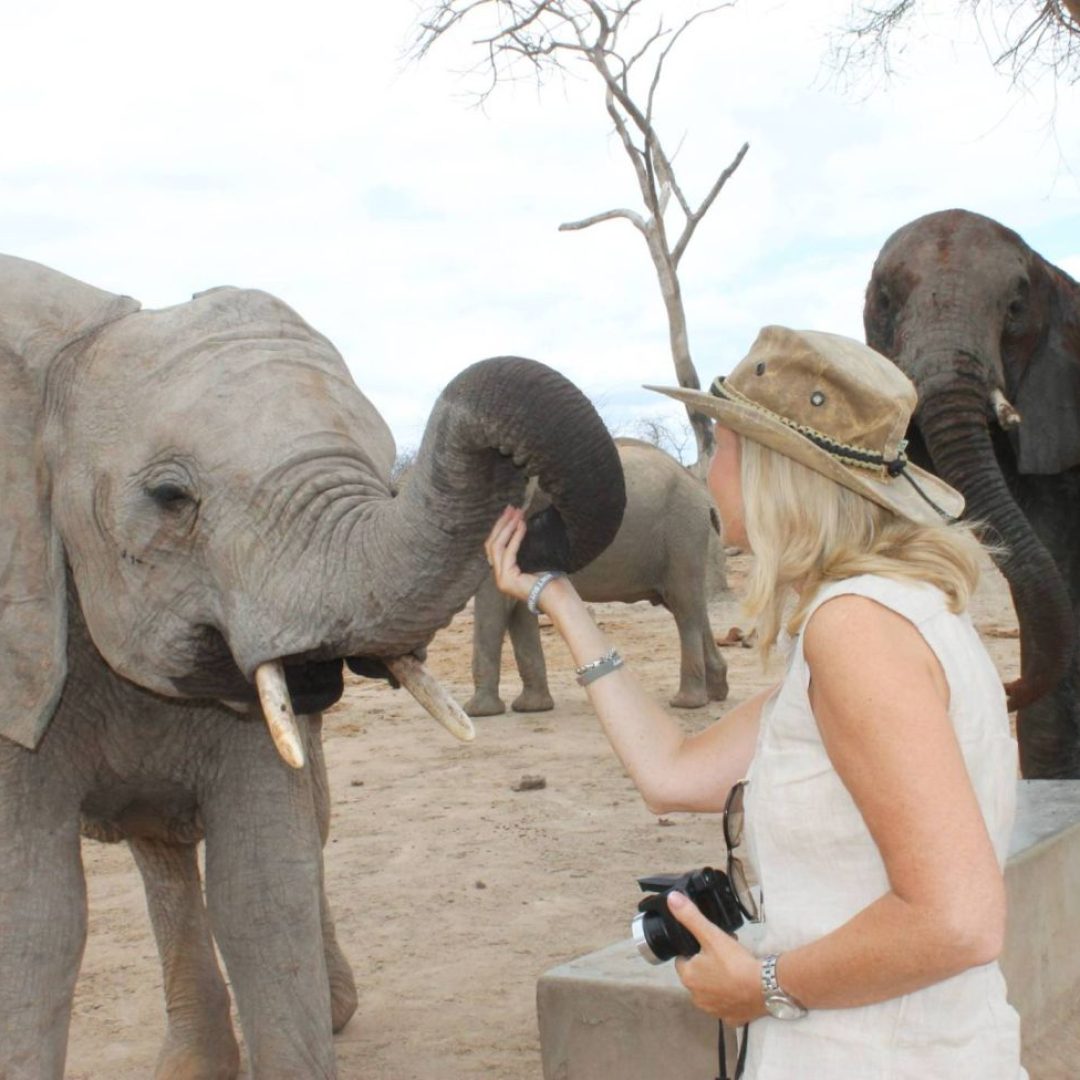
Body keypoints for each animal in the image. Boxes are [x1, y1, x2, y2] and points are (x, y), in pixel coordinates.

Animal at [460, 434, 730, 721]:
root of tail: (703, 494)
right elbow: (517, 608)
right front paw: (532, 708)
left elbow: (496, 602)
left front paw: (477, 712)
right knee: (691, 606)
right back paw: (716, 693)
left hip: (682, 531)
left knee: (684, 608)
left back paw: (687, 702)